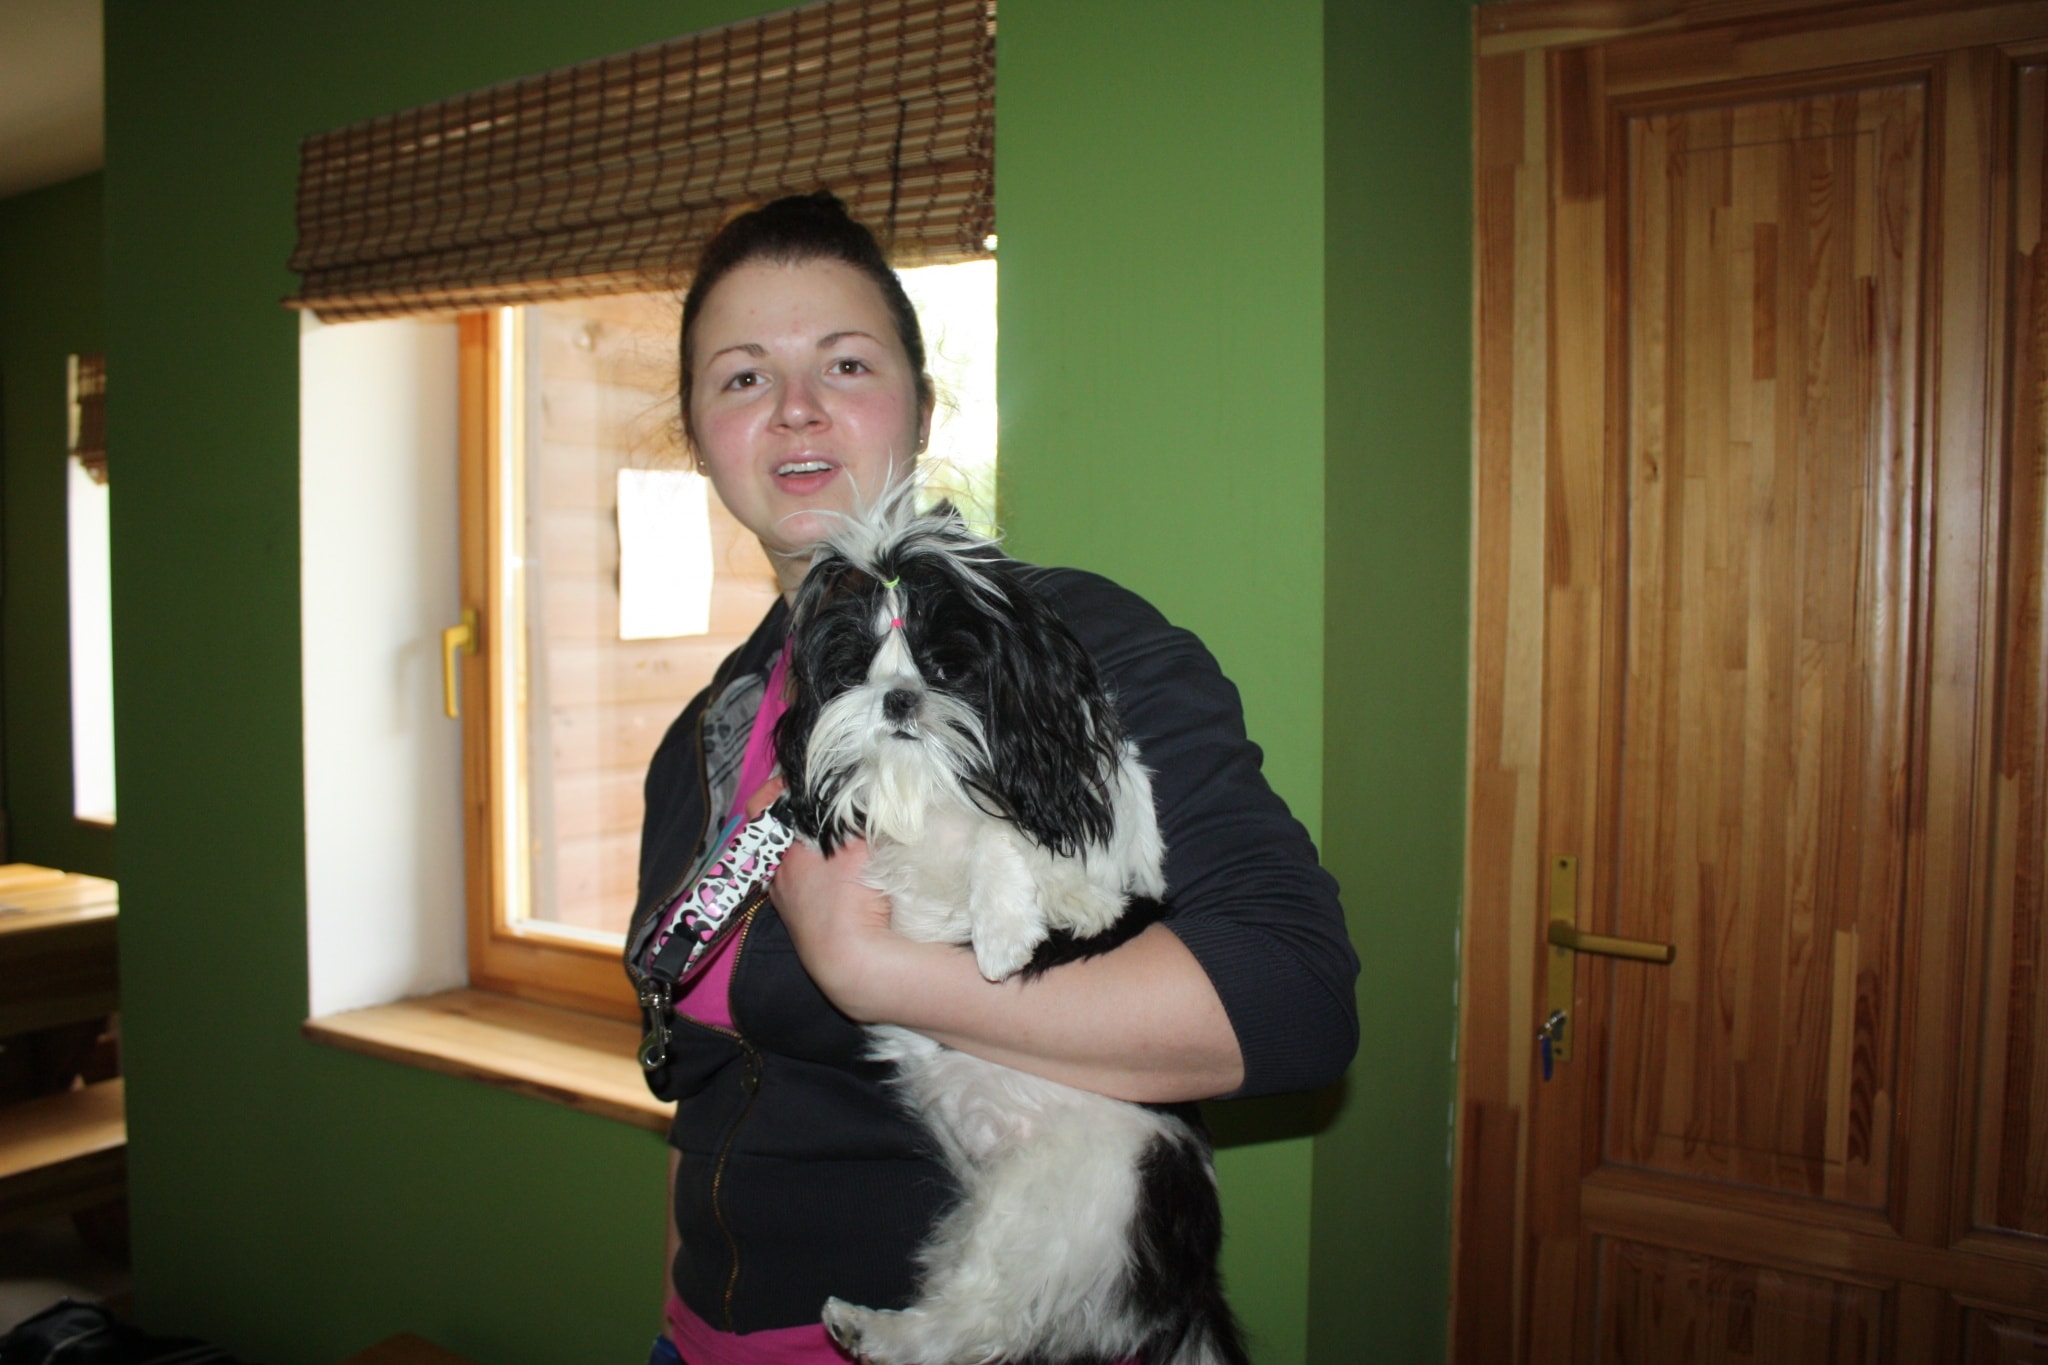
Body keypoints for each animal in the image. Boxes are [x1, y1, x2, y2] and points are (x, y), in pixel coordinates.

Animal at [774, 488, 1250, 1365]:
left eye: (945, 667)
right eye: (857, 667)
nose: (898, 698)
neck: (931, 783)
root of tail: (1190, 1279)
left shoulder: (1091, 856)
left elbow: (1008, 839)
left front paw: (1009, 928)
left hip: (1063, 1200)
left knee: (978, 1323)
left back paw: (874, 1330)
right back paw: (867, 1325)